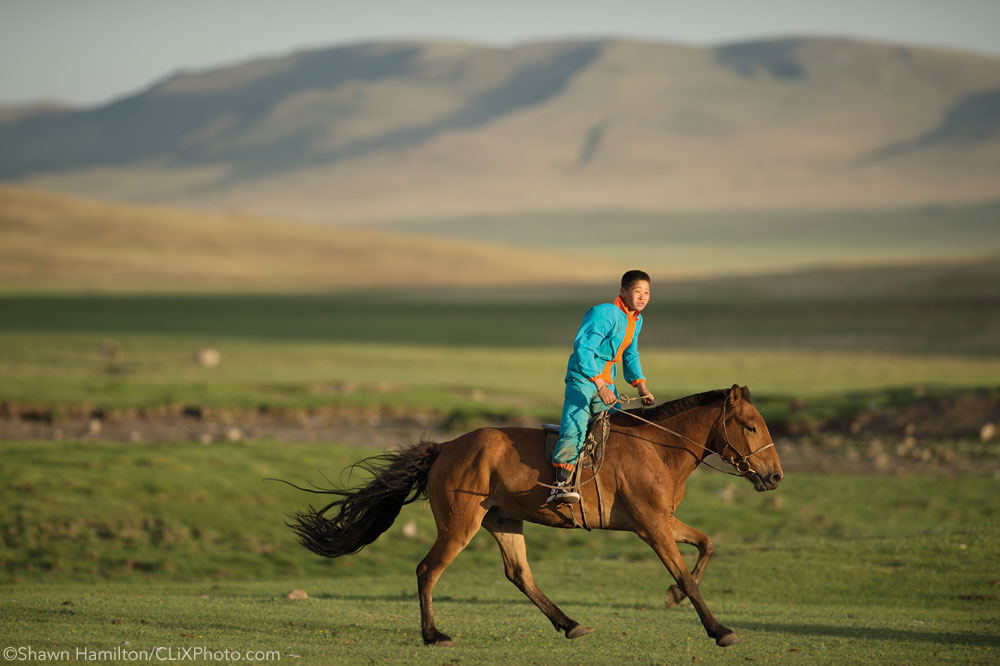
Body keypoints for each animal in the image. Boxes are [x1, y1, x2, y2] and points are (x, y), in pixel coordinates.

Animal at [286, 382, 784, 644]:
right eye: (751, 426)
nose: (776, 476)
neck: (658, 448)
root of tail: (446, 446)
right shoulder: (651, 527)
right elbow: (687, 571)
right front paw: (718, 629)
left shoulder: (662, 521)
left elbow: (706, 546)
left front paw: (674, 597)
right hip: (460, 525)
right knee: (428, 570)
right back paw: (433, 634)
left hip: (504, 521)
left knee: (519, 574)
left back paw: (570, 623)